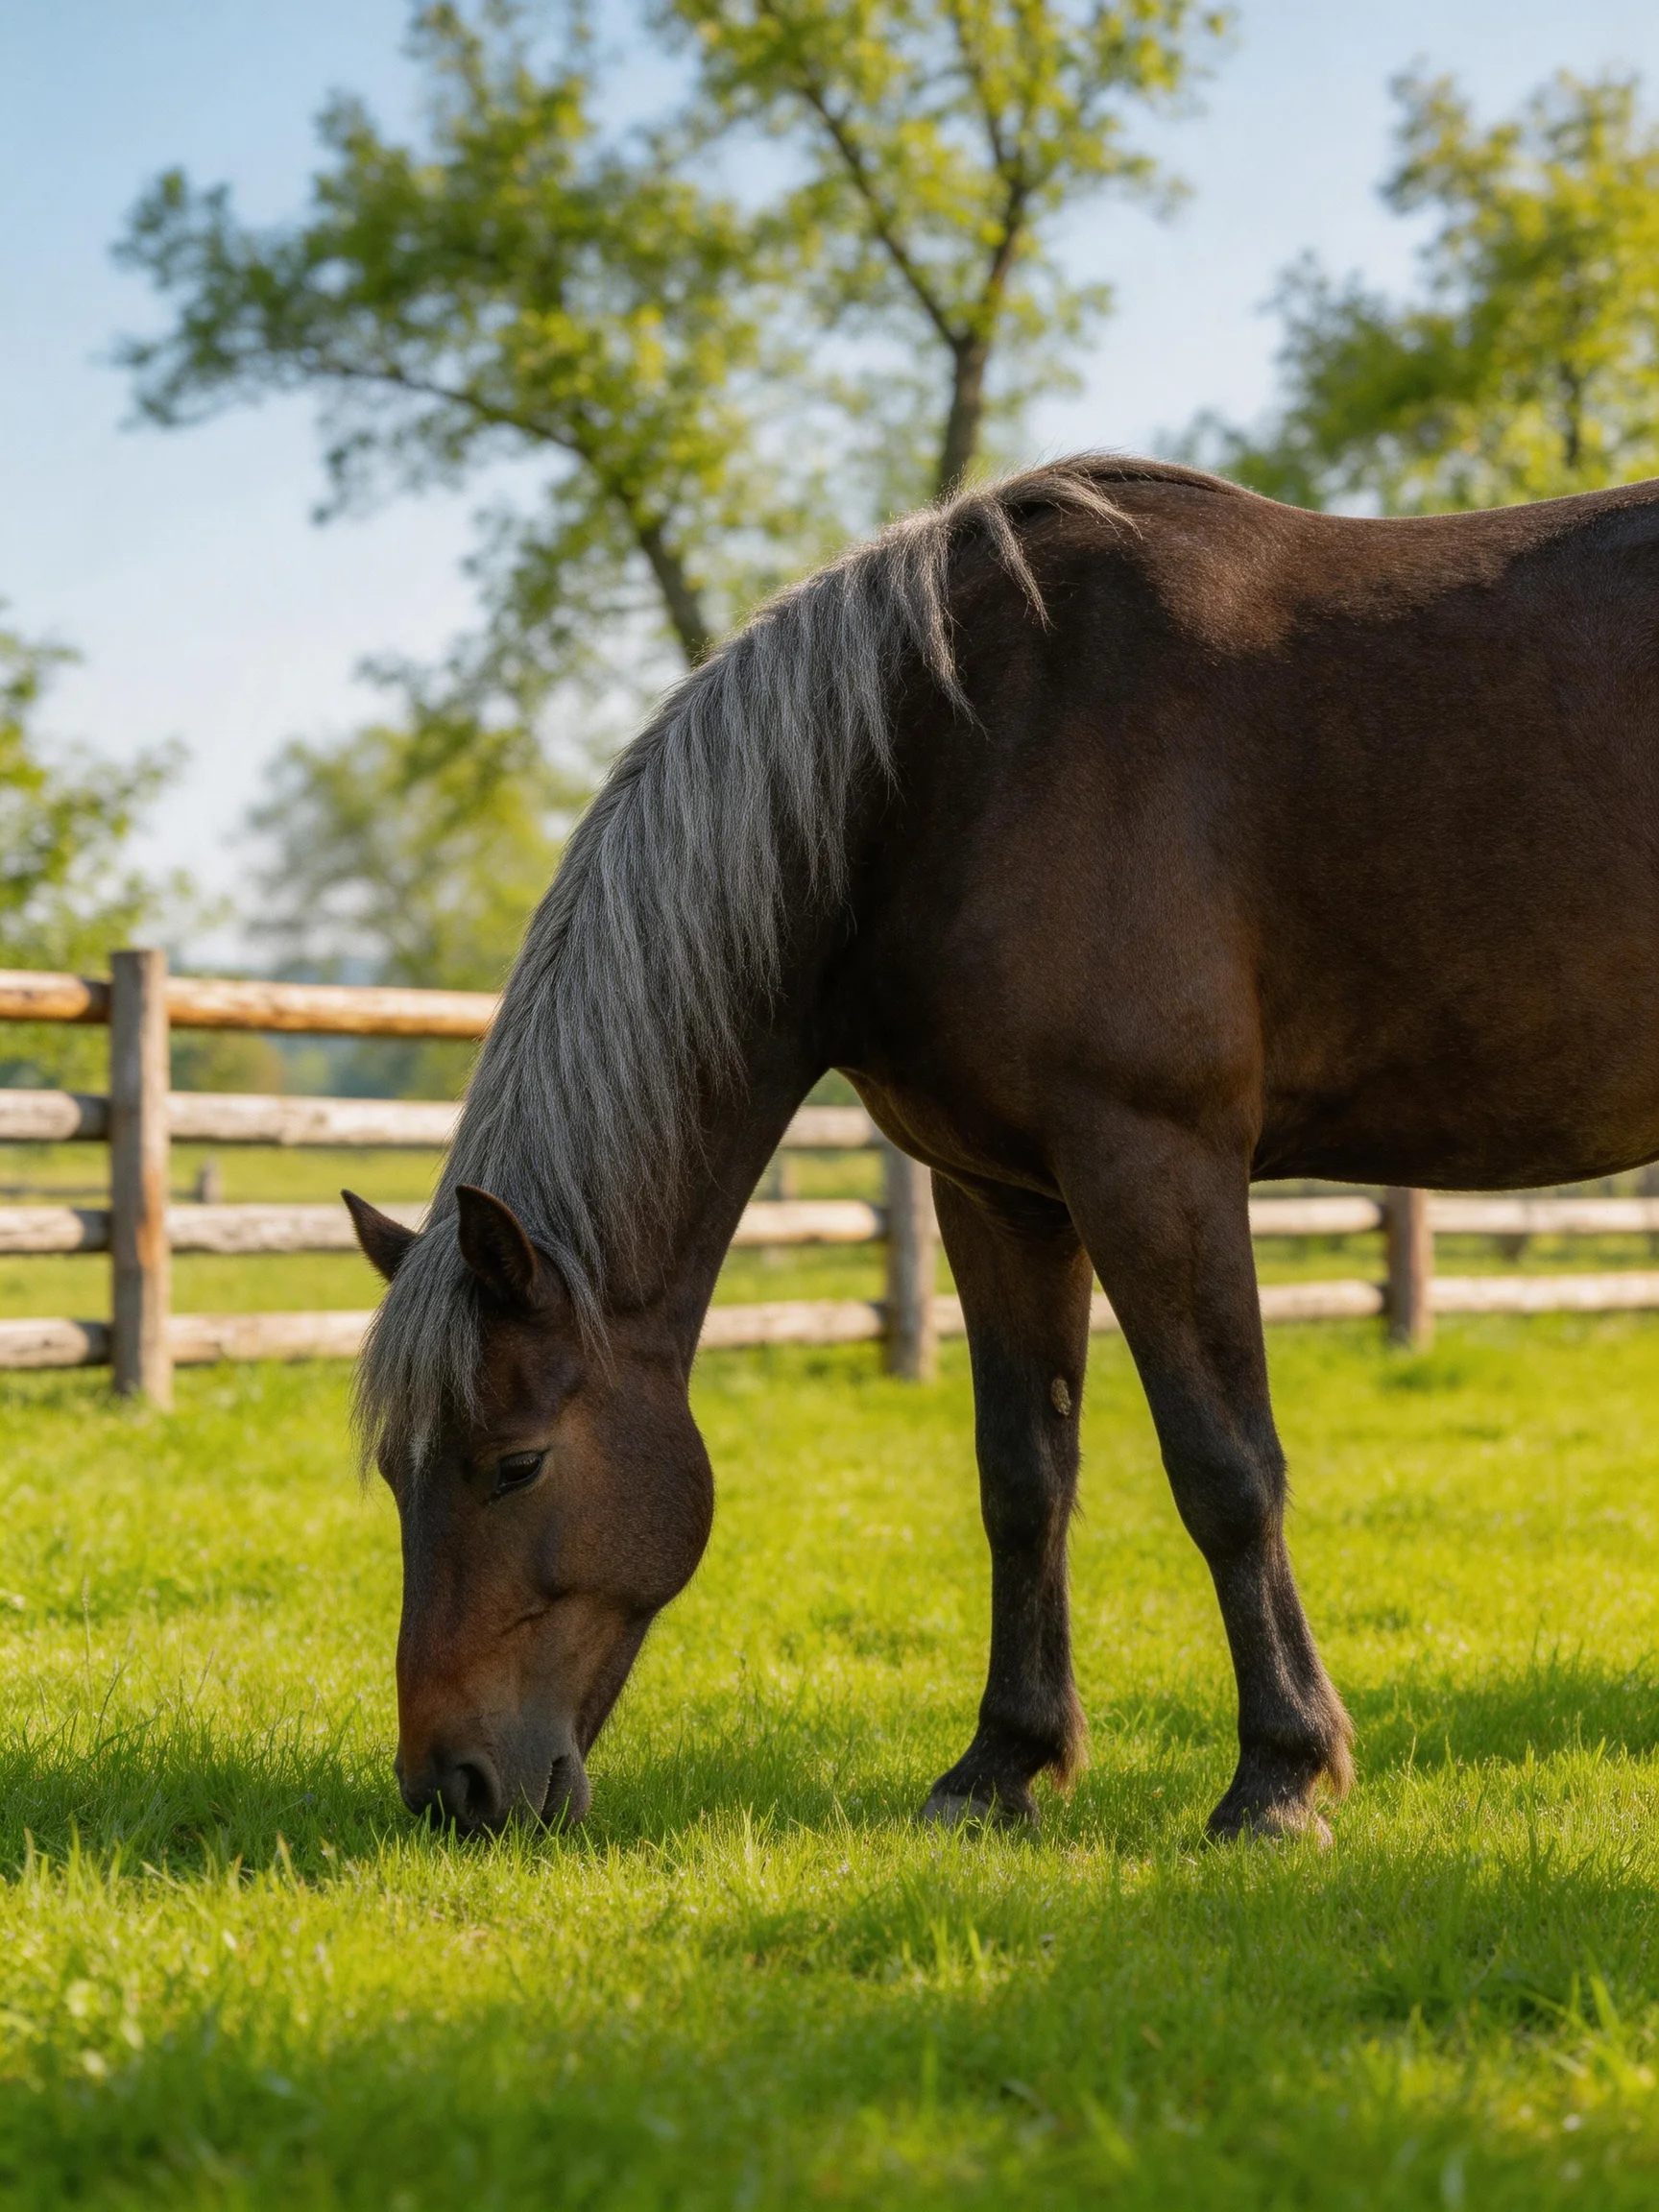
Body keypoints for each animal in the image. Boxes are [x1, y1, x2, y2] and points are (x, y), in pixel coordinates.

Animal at [345, 453, 1659, 1843]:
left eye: (516, 1466)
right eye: (394, 1470)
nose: (449, 1789)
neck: (950, 765)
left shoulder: (1154, 1164)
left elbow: (1226, 1469)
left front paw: (1278, 1776)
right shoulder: (997, 1195)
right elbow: (1023, 1479)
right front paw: (1000, 1765)